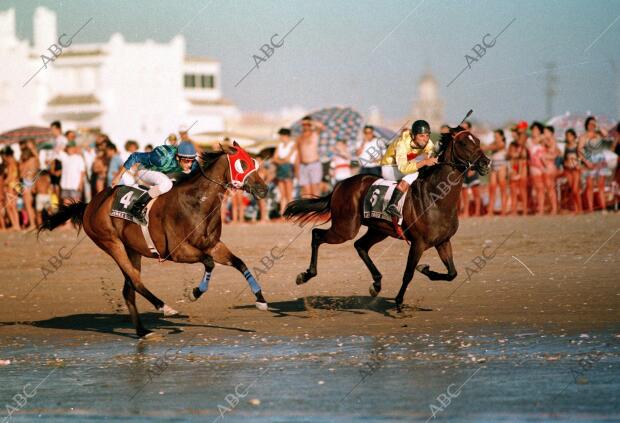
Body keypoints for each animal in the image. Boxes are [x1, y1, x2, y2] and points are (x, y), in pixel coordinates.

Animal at [38, 144, 268, 340]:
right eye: (242, 164)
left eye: (253, 162)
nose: (264, 189)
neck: (196, 203)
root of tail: (89, 205)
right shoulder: (177, 251)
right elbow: (209, 262)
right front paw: (196, 291)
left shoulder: (213, 245)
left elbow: (239, 263)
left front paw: (261, 300)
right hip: (112, 244)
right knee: (136, 282)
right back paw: (164, 307)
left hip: (132, 249)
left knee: (128, 290)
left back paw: (142, 331)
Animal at [284, 125, 492, 312]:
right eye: (464, 143)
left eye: (478, 140)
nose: (486, 163)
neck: (437, 198)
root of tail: (340, 185)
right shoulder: (418, 243)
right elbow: (408, 273)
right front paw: (399, 301)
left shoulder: (443, 241)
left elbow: (452, 273)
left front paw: (425, 269)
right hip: (345, 228)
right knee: (317, 235)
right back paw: (306, 275)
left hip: (378, 230)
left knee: (360, 246)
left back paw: (376, 284)